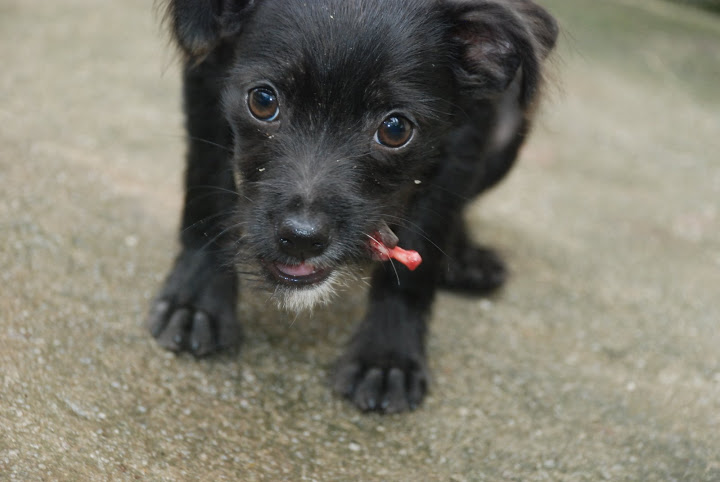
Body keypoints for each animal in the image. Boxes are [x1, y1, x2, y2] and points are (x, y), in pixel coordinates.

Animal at [150, 0, 556, 414]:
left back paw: (464, 258)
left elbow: (422, 246)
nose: (301, 238)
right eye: (263, 101)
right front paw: (197, 300)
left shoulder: (470, 126)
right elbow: (209, 188)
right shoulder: (208, 71)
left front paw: (388, 354)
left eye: (395, 129)